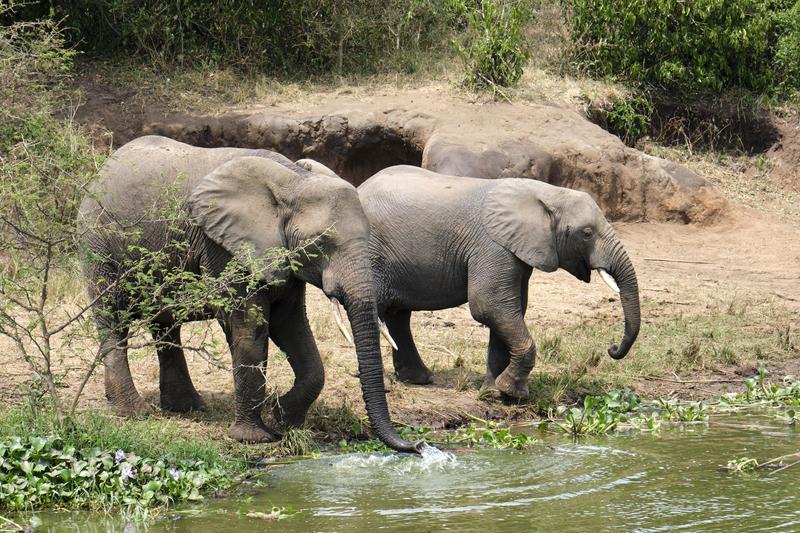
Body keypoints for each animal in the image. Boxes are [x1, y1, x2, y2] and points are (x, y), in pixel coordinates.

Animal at [78, 137, 422, 454]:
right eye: (319, 244)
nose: (416, 446)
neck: (294, 181)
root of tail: (100, 171)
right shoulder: (223, 246)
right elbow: (249, 326)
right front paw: (254, 438)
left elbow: (291, 324)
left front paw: (283, 416)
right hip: (98, 245)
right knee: (112, 319)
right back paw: (133, 412)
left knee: (164, 325)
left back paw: (185, 407)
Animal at [352, 166, 644, 400]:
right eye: (586, 233)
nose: (612, 348)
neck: (547, 193)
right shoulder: (492, 246)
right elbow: (489, 306)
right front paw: (512, 392)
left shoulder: (517, 250)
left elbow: (510, 310)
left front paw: (494, 394)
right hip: (371, 252)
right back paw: (386, 384)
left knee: (398, 316)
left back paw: (419, 379)